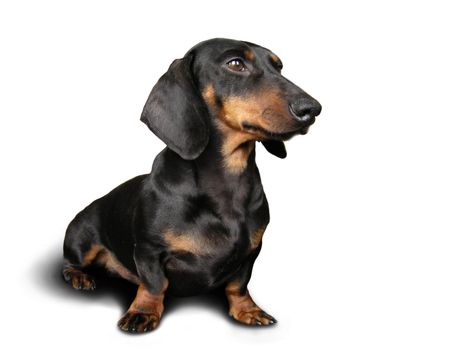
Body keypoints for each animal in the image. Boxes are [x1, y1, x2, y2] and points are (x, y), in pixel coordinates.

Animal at [62, 37, 324, 330]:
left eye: (279, 67)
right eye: (235, 64)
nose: (312, 109)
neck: (227, 180)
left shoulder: (252, 251)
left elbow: (238, 285)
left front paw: (248, 309)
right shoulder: (149, 251)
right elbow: (154, 284)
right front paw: (143, 311)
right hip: (81, 240)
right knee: (70, 263)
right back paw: (79, 276)